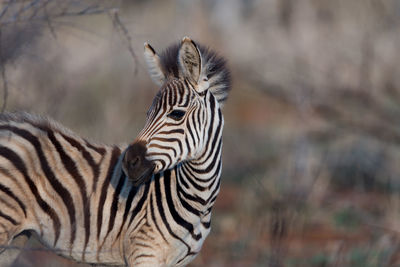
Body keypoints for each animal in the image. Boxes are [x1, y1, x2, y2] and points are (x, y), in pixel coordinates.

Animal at [0, 36, 231, 266]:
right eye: (147, 114)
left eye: (177, 114)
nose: (129, 162)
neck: (197, 199)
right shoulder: (143, 252)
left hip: (17, 238)